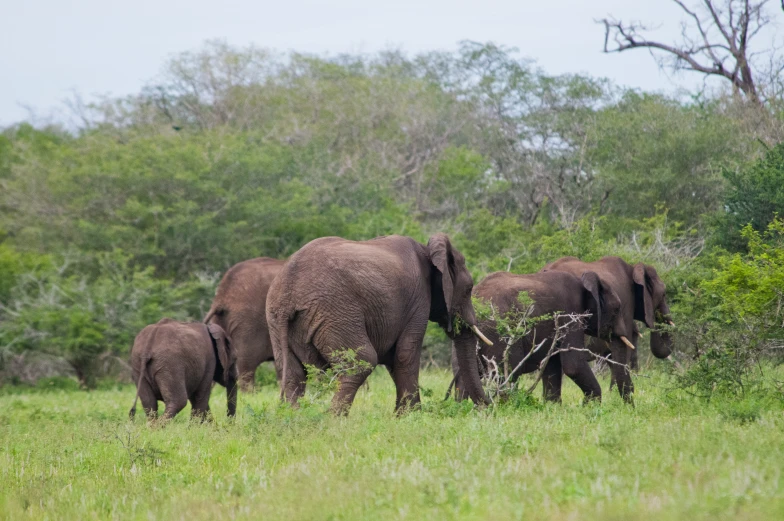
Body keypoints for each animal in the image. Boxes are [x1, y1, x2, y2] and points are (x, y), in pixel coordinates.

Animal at [266, 233, 494, 414]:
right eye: (469, 289)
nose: (489, 407)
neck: (428, 250)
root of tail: (288, 289)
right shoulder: (418, 299)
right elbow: (405, 355)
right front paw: (411, 417)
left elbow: (394, 359)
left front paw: (403, 415)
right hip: (335, 313)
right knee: (362, 362)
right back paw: (333, 420)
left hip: (276, 320)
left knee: (293, 374)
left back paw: (295, 417)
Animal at [450, 270, 620, 404]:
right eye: (617, 309)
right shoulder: (571, 313)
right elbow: (574, 365)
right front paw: (589, 407)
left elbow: (551, 364)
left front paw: (553, 407)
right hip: (497, 333)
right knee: (509, 370)